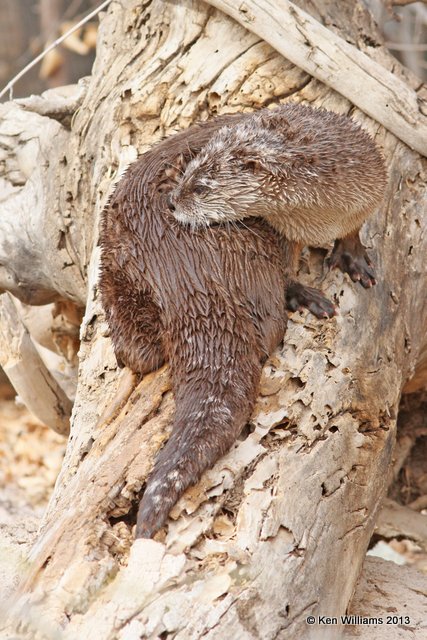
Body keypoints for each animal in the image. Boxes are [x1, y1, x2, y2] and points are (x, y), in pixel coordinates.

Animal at [169, 104, 390, 288]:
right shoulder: (289, 228)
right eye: (186, 172)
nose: (171, 202)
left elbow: (353, 228)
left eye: (200, 188)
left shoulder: (369, 193)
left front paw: (353, 258)